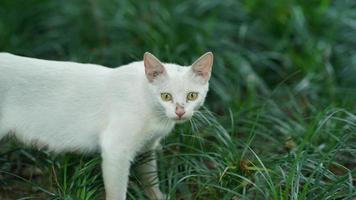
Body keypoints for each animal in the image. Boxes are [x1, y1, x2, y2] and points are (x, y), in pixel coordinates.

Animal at [0, 50, 213, 199]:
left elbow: (150, 179)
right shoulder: (115, 150)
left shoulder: (147, 148)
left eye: (192, 95)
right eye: (166, 96)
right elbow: (116, 193)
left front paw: (158, 196)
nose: (180, 111)